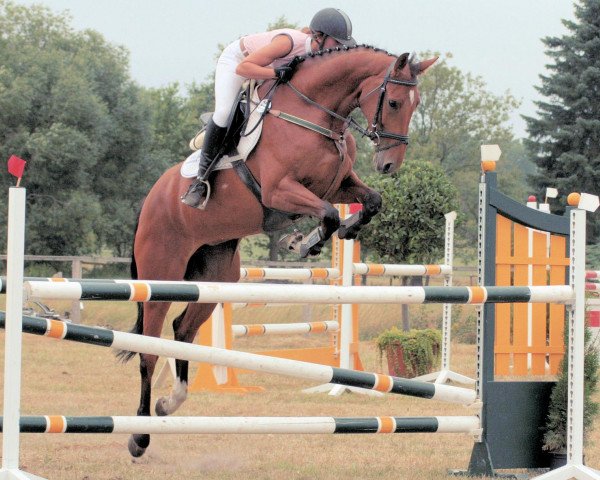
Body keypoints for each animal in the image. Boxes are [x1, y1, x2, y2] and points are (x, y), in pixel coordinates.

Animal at [119, 45, 436, 458]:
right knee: (149, 350)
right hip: (161, 275)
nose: (389, 164)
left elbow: (369, 201)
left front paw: (345, 229)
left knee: (182, 330)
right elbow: (328, 213)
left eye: (416, 105)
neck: (318, 115)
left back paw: (169, 403)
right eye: (395, 102)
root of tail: (150, 202)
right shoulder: (279, 191)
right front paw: (303, 241)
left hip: (215, 279)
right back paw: (139, 436)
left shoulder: (339, 183)